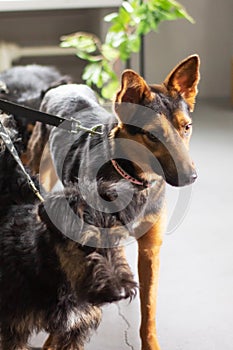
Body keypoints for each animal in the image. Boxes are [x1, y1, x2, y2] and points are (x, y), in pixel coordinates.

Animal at [28, 54, 199, 350]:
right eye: (152, 135)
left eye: (186, 128)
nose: (191, 177)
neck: (131, 177)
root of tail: (62, 85)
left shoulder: (151, 249)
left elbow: (149, 309)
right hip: (40, 168)